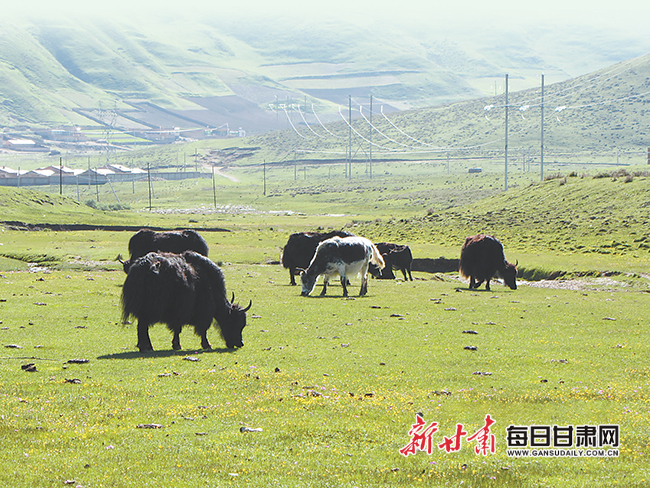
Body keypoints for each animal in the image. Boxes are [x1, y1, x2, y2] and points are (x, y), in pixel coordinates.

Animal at [121, 250, 251, 352]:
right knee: (143, 327)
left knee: (141, 327)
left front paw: (176, 345)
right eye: (234, 322)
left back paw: (144, 346)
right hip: (149, 309)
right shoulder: (200, 312)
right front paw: (205, 345)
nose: (240, 344)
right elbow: (200, 329)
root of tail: (141, 268)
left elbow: (177, 329)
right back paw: (147, 347)